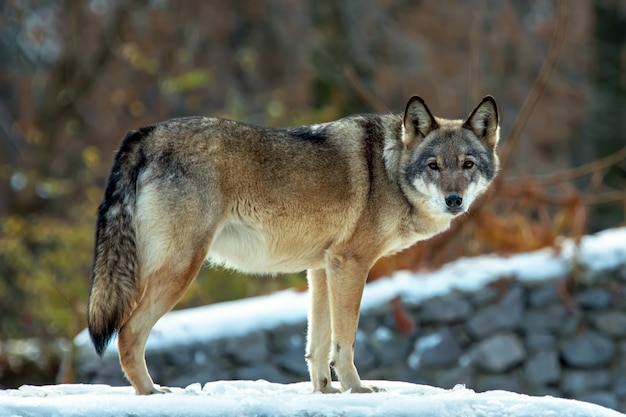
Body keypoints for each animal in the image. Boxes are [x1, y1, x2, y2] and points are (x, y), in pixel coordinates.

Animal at [86, 94, 498, 394]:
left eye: (467, 165)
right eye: (433, 165)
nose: (454, 200)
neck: (388, 169)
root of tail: (147, 133)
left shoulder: (322, 269)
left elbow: (318, 346)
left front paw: (326, 393)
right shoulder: (350, 264)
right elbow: (344, 341)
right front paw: (358, 390)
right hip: (179, 270)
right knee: (128, 333)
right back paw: (152, 393)